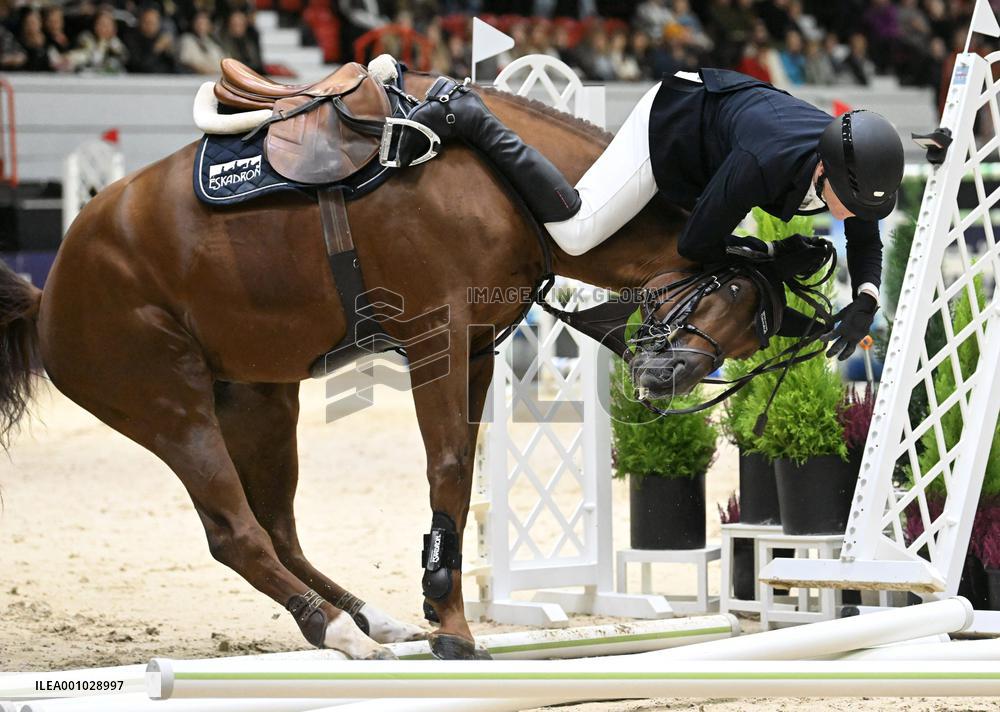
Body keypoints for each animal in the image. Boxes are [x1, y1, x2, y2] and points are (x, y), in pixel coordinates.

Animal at [0, 72, 765, 661]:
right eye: (724, 293)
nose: (664, 382)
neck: (497, 173)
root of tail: (50, 293)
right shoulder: (438, 339)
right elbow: (448, 470)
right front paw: (453, 628)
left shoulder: (476, 350)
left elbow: (459, 476)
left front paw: (437, 612)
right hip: (174, 411)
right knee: (234, 533)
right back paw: (338, 630)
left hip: (259, 401)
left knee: (276, 528)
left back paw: (373, 620)